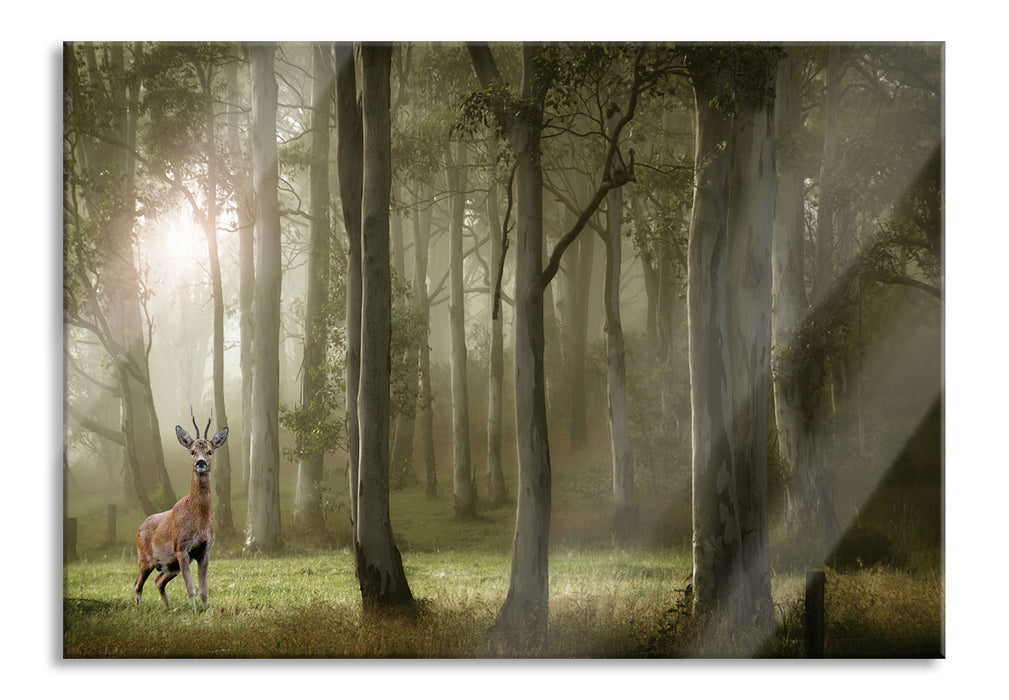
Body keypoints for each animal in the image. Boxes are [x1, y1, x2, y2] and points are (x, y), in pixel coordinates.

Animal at [134, 410, 227, 613]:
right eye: (192, 451)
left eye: (210, 451)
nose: (200, 462)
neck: (199, 519)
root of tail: (139, 527)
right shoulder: (181, 547)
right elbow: (190, 588)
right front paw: (194, 612)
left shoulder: (205, 549)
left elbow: (203, 589)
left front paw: (205, 610)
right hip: (145, 558)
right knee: (137, 584)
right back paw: (139, 609)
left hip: (170, 566)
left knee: (158, 581)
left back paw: (168, 609)